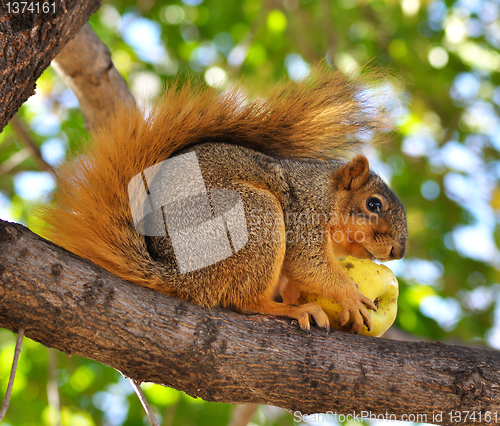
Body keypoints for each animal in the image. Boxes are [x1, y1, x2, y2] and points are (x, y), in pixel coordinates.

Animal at [39, 68, 406, 332]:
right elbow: (307, 261)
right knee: (243, 300)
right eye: (374, 204)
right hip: (255, 218)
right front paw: (350, 295)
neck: (326, 194)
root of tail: (180, 276)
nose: (398, 252)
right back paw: (288, 309)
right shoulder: (303, 210)